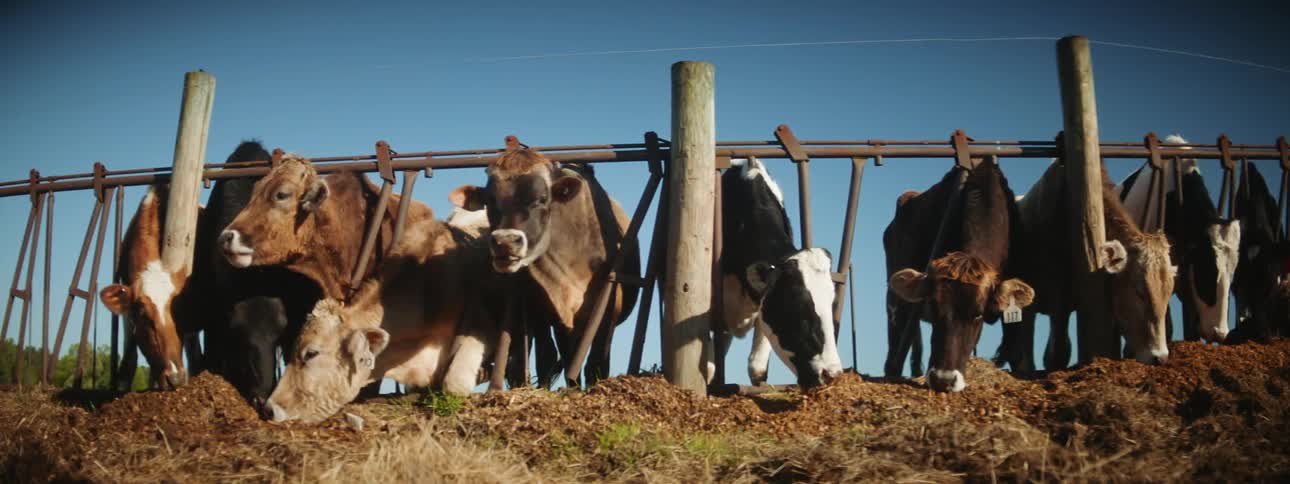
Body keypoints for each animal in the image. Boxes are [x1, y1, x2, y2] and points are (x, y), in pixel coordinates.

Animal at [448, 148, 639, 387]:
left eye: (542, 199)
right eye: (490, 200)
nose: (505, 242)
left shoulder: (608, 308)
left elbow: (596, 364)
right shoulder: (542, 311)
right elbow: (548, 358)